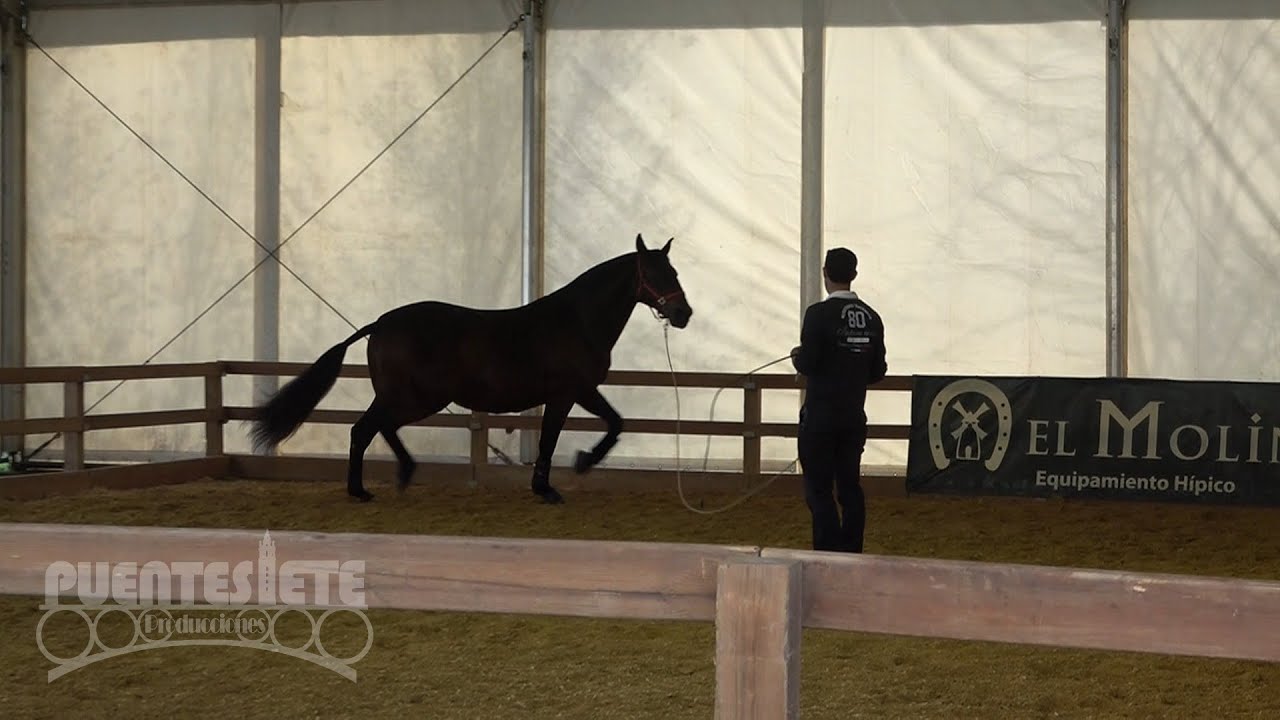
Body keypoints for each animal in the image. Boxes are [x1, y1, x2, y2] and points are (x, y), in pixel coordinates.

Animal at [248, 233, 694, 503]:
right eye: (653, 273)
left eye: (673, 271)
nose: (683, 314)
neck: (577, 320)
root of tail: (381, 323)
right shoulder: (570, 393)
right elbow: (572, 435)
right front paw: (563, 477)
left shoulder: (576, 393)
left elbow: (606, 426)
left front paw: (564, 473)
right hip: (418, 398)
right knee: (371, 428)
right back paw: (381, 482)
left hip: (403, 396)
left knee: (369, 428)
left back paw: (380, 482)